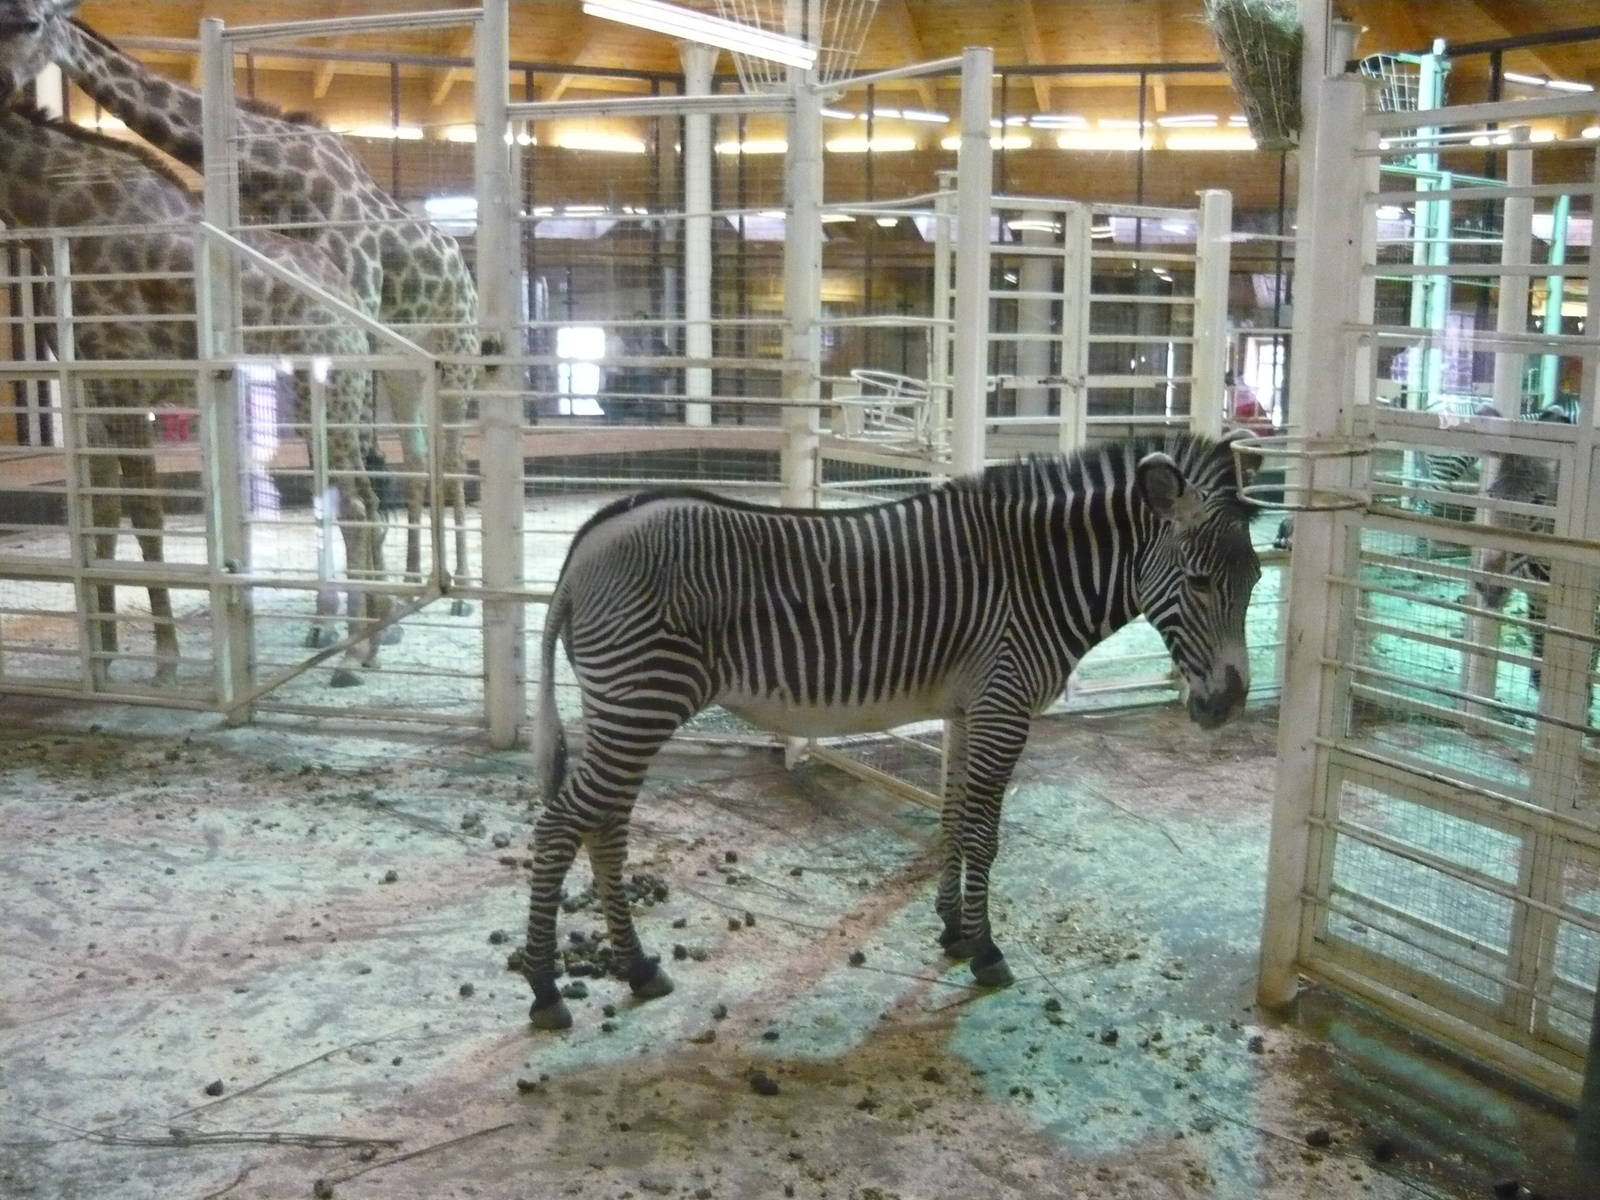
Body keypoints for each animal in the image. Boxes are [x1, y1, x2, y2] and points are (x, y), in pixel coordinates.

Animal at [518, 432, 1263, 1029]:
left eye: (1255, 578)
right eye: (1199, 582)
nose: (1228, 704)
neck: (1037, 577)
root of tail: (590, 539)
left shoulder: (970, 710)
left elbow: (955, 820)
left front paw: (954, 929)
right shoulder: (1004, 706)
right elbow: (985, 836)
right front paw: (986, 951)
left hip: (626, 712)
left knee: (603, 829)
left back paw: (638, 967)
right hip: (640, 704)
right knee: (559, 829)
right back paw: (546, 989)